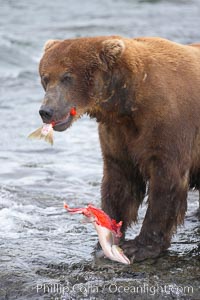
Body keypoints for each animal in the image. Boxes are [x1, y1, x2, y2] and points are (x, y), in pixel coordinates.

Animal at [38, 35, 200, 262]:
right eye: (45, 77)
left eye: (67, 76)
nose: (46, 111)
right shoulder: (118, 134)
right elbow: (119, 183)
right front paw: (105, 239)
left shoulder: (169, 125)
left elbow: (166, 183)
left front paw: (140, 246)